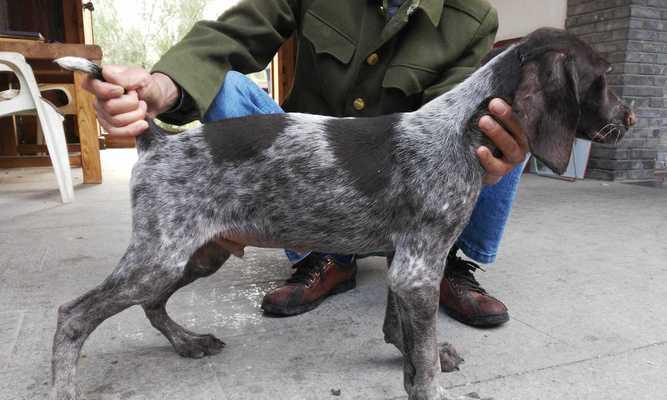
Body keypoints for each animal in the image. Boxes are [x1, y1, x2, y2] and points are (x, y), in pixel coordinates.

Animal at [52, 28, 636, 400]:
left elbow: (402, 333)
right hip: (161, 256)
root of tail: (159, 140)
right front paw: (431, 388)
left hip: (195, 254)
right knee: (74, 316)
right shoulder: (418, 266)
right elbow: (422, 357)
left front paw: (410, 362)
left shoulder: (408, 264)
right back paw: (65, 387)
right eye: (603, 78)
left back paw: (188, 342)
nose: (631, 117)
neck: (459, 130)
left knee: (150, 303)